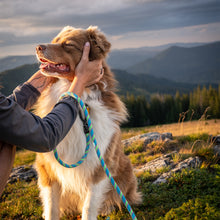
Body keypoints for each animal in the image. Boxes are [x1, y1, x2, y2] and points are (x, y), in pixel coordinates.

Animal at [34, 26, 141, 220]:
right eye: (54, 40)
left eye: (68, 45)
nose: (38, 47)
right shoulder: (47, 168)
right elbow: (52, 207)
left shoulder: (99, 166)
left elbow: (89, 206)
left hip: (125, 170)